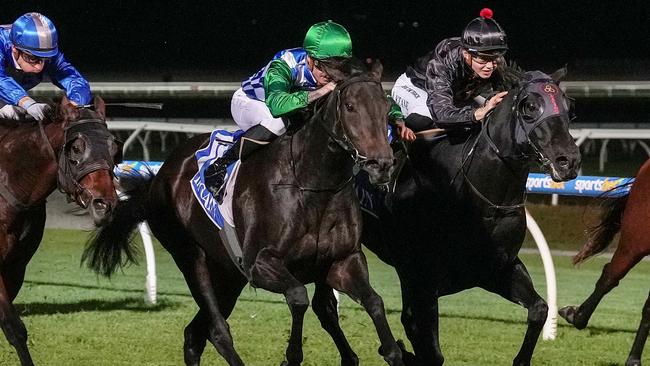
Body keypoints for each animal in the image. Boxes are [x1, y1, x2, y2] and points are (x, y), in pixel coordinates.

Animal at [83, 60, 402, 366]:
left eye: (387, 108)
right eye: (350, 106)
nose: (382, 164)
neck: (313, 184)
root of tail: (158, 179)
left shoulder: (342, 261)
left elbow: (374, 301)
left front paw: (392, 350)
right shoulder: (259, 265)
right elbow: (298, 297)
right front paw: (292, 356)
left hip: (227, 275)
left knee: (194, 335)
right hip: (193, 260)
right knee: (217, 331)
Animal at [360, 69, 576, 366]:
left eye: (568, 107)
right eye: (530, 107)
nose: (569, 160)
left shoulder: (496, 269)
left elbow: (539, 309)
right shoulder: (422, 280)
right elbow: (428, 346)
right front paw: (399, 351)